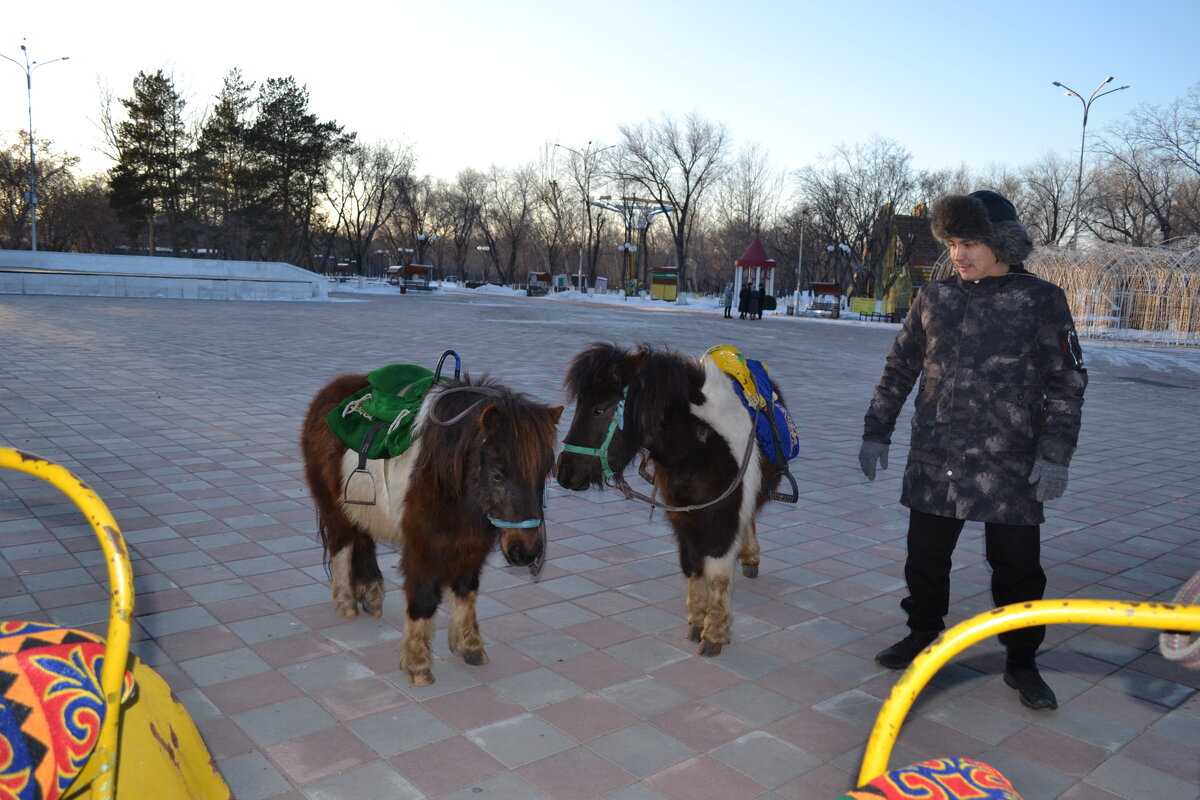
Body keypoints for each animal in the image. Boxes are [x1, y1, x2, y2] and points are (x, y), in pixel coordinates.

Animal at [300, 371, 561, 686]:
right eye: (498, 475)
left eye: (545, 473)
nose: (526, 551)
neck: (446, 479)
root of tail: (331, 389)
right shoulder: (423, 548)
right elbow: (424, 599)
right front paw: (418, 663)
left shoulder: (470, 547)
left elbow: (466, 591)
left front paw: (470, 646)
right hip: (333, 506)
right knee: (342, 543)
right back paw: (347, 601)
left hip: (361, 506)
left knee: (363, 539)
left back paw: (371, 594)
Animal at [556, 343, 782, 657]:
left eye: (599, 409)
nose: (564, 473)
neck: (699, 450)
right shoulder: (682, 517)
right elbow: (691, 565)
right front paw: (697, 624)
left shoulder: (723, 520)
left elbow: (718, 576)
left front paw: (714, 635)